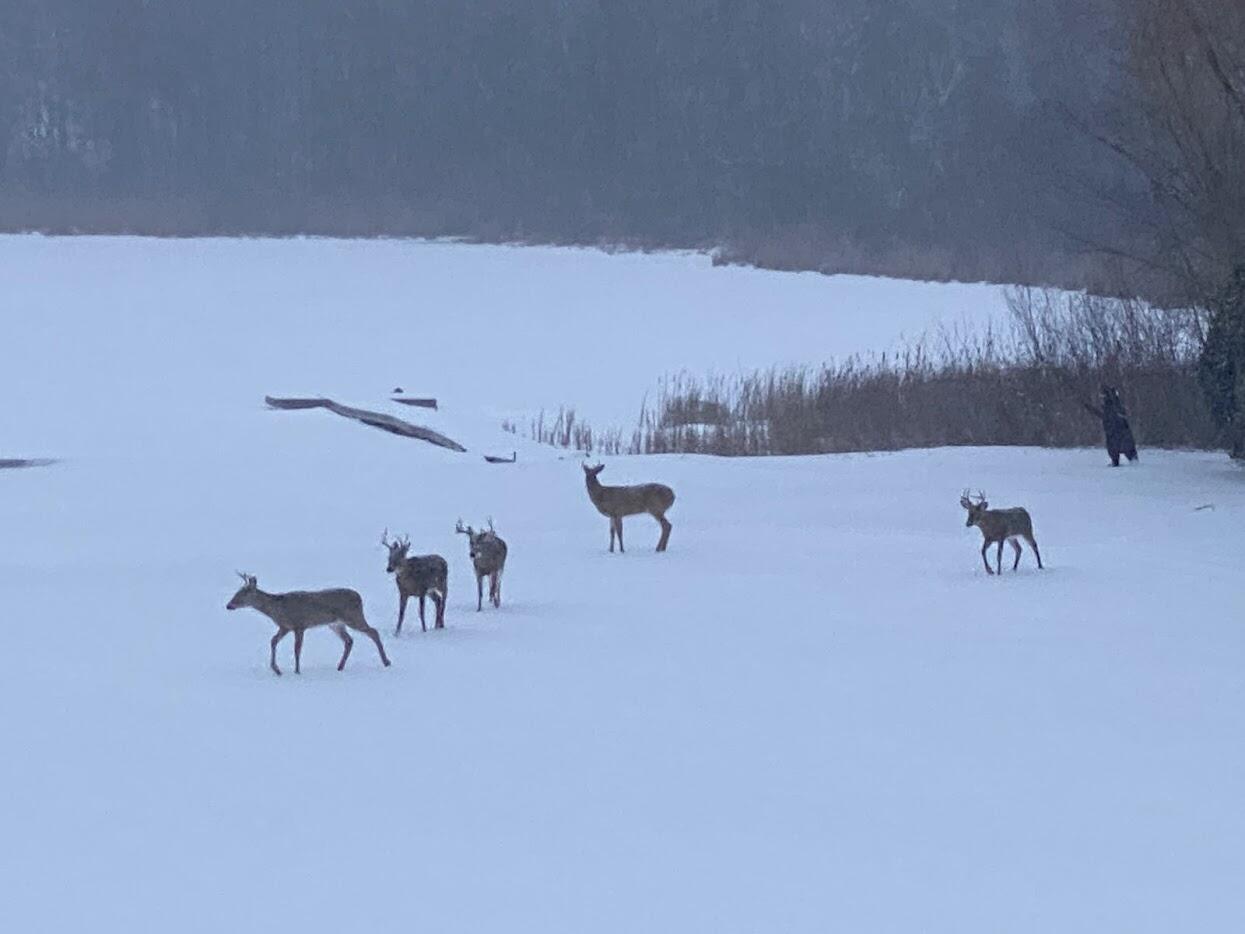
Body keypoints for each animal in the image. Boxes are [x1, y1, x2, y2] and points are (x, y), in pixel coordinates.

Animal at [224, 573, 391, 676]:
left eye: (243, 594)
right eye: (237, 592)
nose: (228, 605)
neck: (277, 608)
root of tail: (359, 597)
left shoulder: (299, 625)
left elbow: (297, 649)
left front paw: (297, 671)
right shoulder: (285, 626)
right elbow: (273, 641)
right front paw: (277, 670)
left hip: (353, 617)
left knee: (373, 631)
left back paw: (386, 662)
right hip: (336, 623)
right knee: (349, 640)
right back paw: (340, 667)